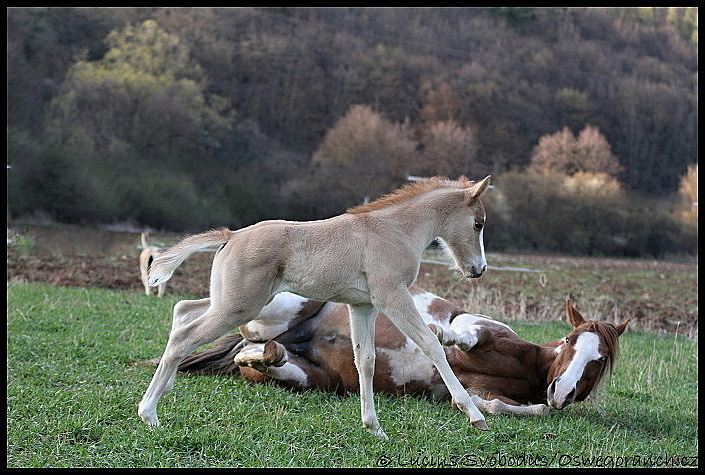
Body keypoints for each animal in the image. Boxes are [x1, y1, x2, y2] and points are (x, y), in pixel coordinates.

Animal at [138, 176, 490, 438]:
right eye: (478, 224)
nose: (479, 269)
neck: (395, 230)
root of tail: (232, 236)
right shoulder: (391, 296)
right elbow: (431, 344)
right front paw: (474, 415)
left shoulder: (362, 305)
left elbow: (365, 360)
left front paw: (374, 428)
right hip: (240, 307)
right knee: (184, 336)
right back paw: (149, 413)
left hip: (233, 300)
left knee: (182, 311)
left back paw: (164, 389)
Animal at [147, 286, 628, 416]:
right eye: (569, 341)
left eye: (600, 359)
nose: (562, 392)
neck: (528, 366)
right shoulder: (477, 326)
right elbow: (462, 334)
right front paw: (439, 335)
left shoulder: (489, 393)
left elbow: (512, 407)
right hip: (277, 306)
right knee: (211, 321)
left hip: (313, 379)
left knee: (258, 356)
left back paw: (270, 355)